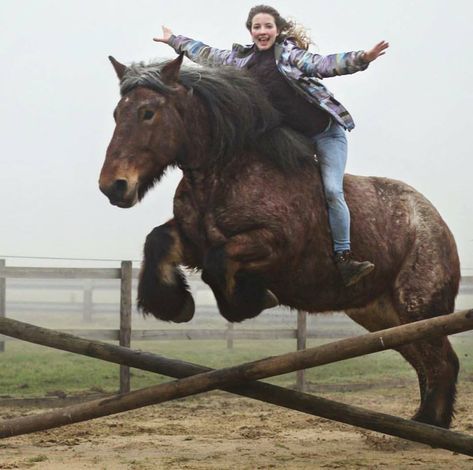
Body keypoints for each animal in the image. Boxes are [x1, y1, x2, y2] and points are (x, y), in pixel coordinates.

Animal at [97, 55, 460, 430]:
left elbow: (219, 263)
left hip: (417, 306)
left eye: (148, 112)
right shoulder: (193, 241)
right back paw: (421, 423)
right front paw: (174, 304)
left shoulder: (276, 247)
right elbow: (159, 241)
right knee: (424, 361)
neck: (226, 174)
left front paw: (251, 299)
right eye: (117, 113)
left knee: (442, 362)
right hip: (382, 314)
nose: (114, 186)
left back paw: (429, 424)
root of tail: (436, 222)